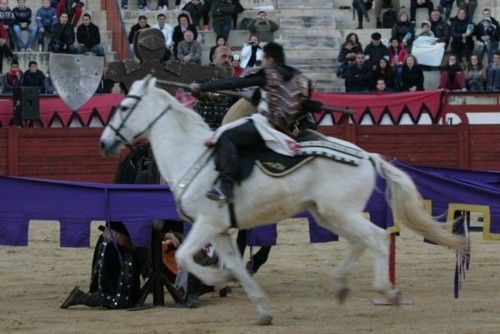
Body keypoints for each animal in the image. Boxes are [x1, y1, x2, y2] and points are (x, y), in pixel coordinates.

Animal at [100, 77, 464, 324]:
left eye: (123, 107)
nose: (104, 143)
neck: (190, 152)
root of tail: (367, 156)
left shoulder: (207, 223)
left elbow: (186, 257)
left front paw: (218, 282)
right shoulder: (220, 230)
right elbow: (233, 263)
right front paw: (260, 307)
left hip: (340, 212)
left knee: (375, 238)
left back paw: (388, 291)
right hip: (329, 214)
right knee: (361, 241)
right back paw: (341, 285)